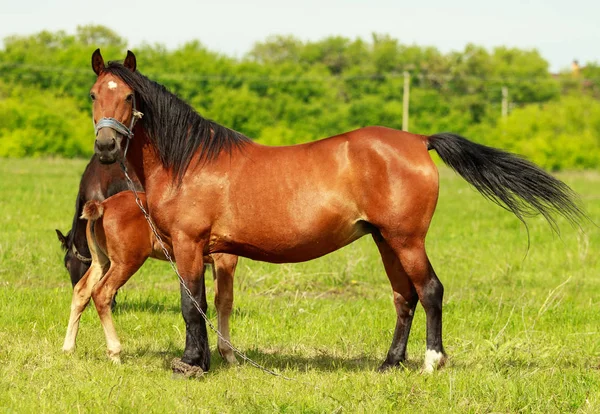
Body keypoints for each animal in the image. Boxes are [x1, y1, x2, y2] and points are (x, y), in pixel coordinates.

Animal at [62, 190, 238, 362]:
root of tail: (103, 205)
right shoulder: (225, 259)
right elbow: (224, 301)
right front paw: (229, 355)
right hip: (125, 262)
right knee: (101, 292)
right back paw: (115, 353)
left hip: (101, 261)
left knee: (81, 290)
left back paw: (69, 348)